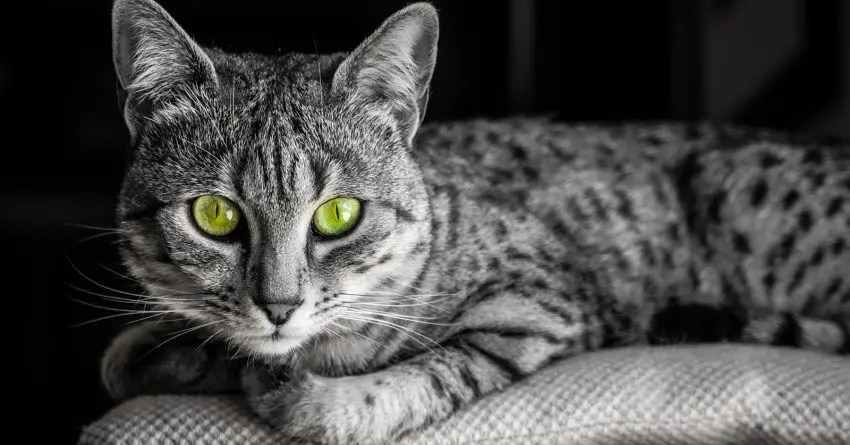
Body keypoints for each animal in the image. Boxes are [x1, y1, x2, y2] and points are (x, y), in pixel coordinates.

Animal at [101, 0, 848, 444]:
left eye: (339, 215)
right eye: (215, 214)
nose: (277, 305)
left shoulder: (541, 305)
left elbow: (420, 377)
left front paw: (313, 397)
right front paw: (169, 348)